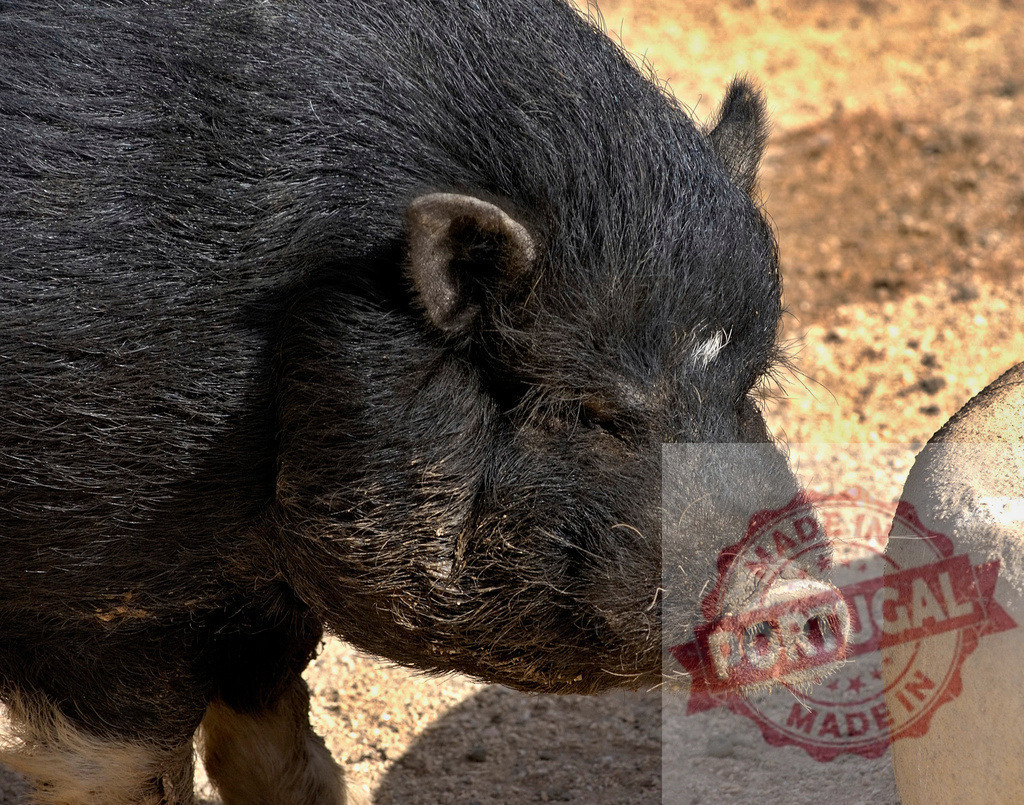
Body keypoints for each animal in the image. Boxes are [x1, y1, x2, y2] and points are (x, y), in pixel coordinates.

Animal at [0, 0, 847, 802]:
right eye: (594, 409)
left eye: (749, 385)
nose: (800, 594)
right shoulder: (100, 601)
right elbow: (128, 769)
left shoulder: (256, 597)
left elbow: (281, 756)